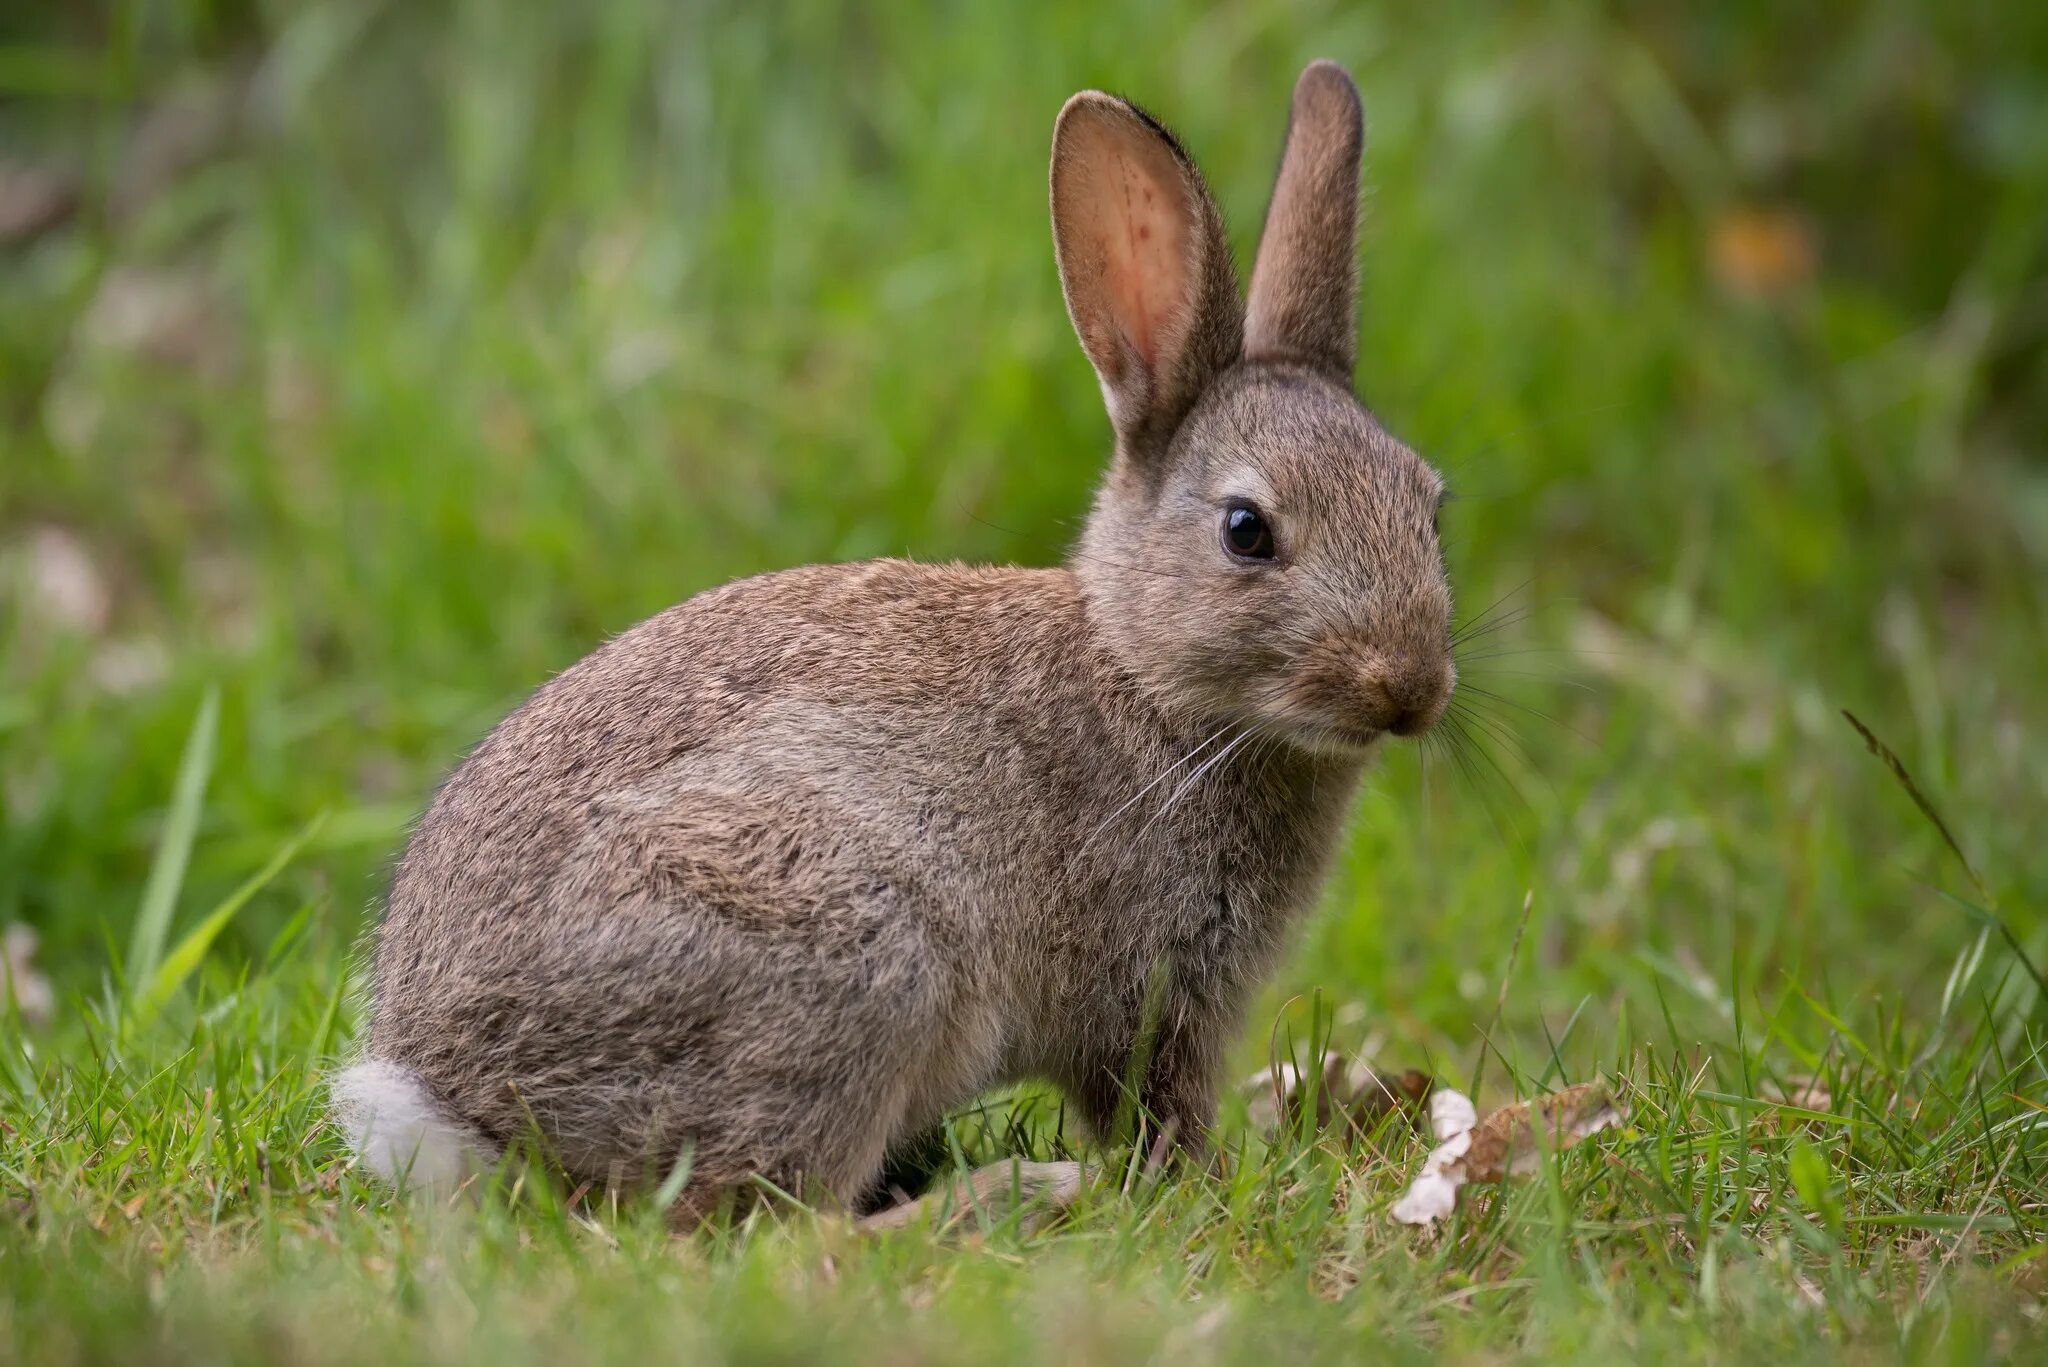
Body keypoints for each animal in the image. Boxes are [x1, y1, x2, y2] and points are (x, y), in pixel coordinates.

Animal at [335, 58, 1458, 1221]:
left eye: (1430, 505)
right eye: (1246, 531)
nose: (1409, 689)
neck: (1142, 675)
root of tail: (456, 1109)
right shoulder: (1146, 996)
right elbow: (1154, 1112)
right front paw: (1200, 1186)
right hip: (848, 961)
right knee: (775, 1218)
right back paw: (1017, 1192)